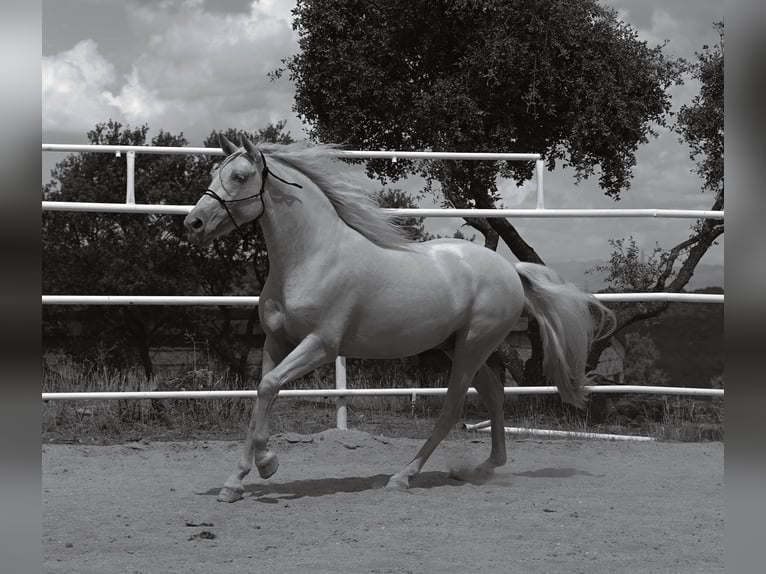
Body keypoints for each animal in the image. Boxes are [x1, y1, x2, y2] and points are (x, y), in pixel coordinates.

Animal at [184, 134, 615, 502]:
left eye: (240, 177)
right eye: (213, 173)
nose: (193, 223)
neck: (313, 256)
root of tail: (510, 269)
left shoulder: (321, 345)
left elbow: (269, 386)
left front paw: (267, 465)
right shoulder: (276, 342)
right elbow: (263, 392)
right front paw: (236, 482)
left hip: (473, 346)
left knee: (453, 407)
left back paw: (404, 476)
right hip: (458, 345)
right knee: (494, 393)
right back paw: (483, 468)